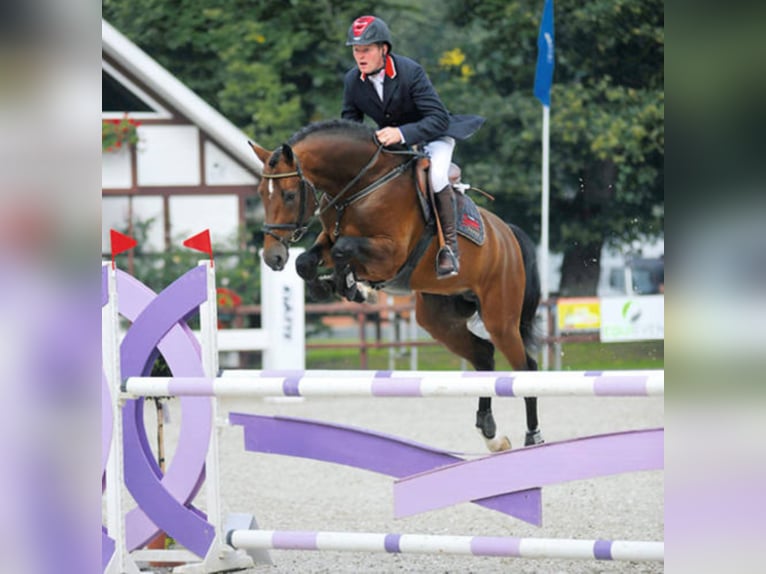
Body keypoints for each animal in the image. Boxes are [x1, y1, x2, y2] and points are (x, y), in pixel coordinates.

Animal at [249, 119, 544, 452]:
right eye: (260, 193)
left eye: (288, 195)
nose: (273, 256)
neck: (360, 187)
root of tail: (507, 234)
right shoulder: (329, 238)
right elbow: (307, 261)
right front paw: (332, 286)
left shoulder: (390, 254)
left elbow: (343, 250)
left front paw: (352, 285)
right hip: (438, 318)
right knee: (483, 354)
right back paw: (491, 434)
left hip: (500, 318)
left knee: (526, 368)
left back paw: (533, 436)